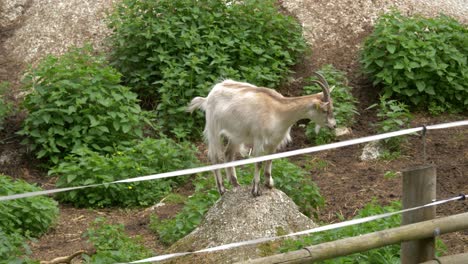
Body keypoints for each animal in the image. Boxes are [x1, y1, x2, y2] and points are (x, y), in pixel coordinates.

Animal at [187, 73, 336, 197]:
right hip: (213, 127)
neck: (278, 111)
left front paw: (269, 184)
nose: (334, 125)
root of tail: (208, 96)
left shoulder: (274, 141)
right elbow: (258, 162)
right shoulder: (259, 139)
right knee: (214, 156)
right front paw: (255, 190)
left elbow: (269, 160)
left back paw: (236, 183)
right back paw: (222, 189)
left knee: (228, 154)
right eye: (325, 110)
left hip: (235, 134)